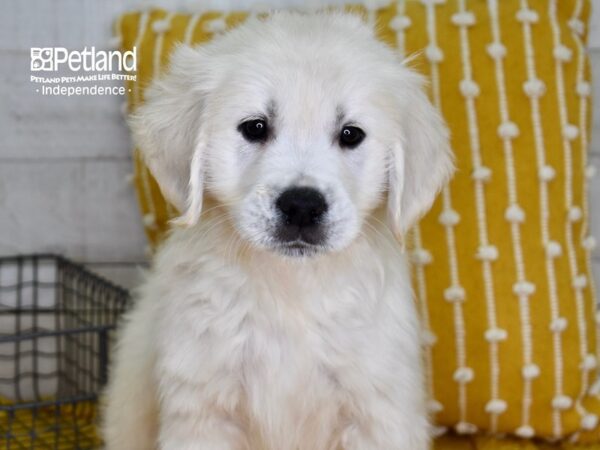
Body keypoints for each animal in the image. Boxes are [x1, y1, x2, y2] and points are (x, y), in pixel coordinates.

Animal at [104, 12, 450, 450]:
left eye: (351, 134)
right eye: (255, 127)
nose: (302, 206)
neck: (291, 288)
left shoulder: (374, 407)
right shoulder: (204, 406)